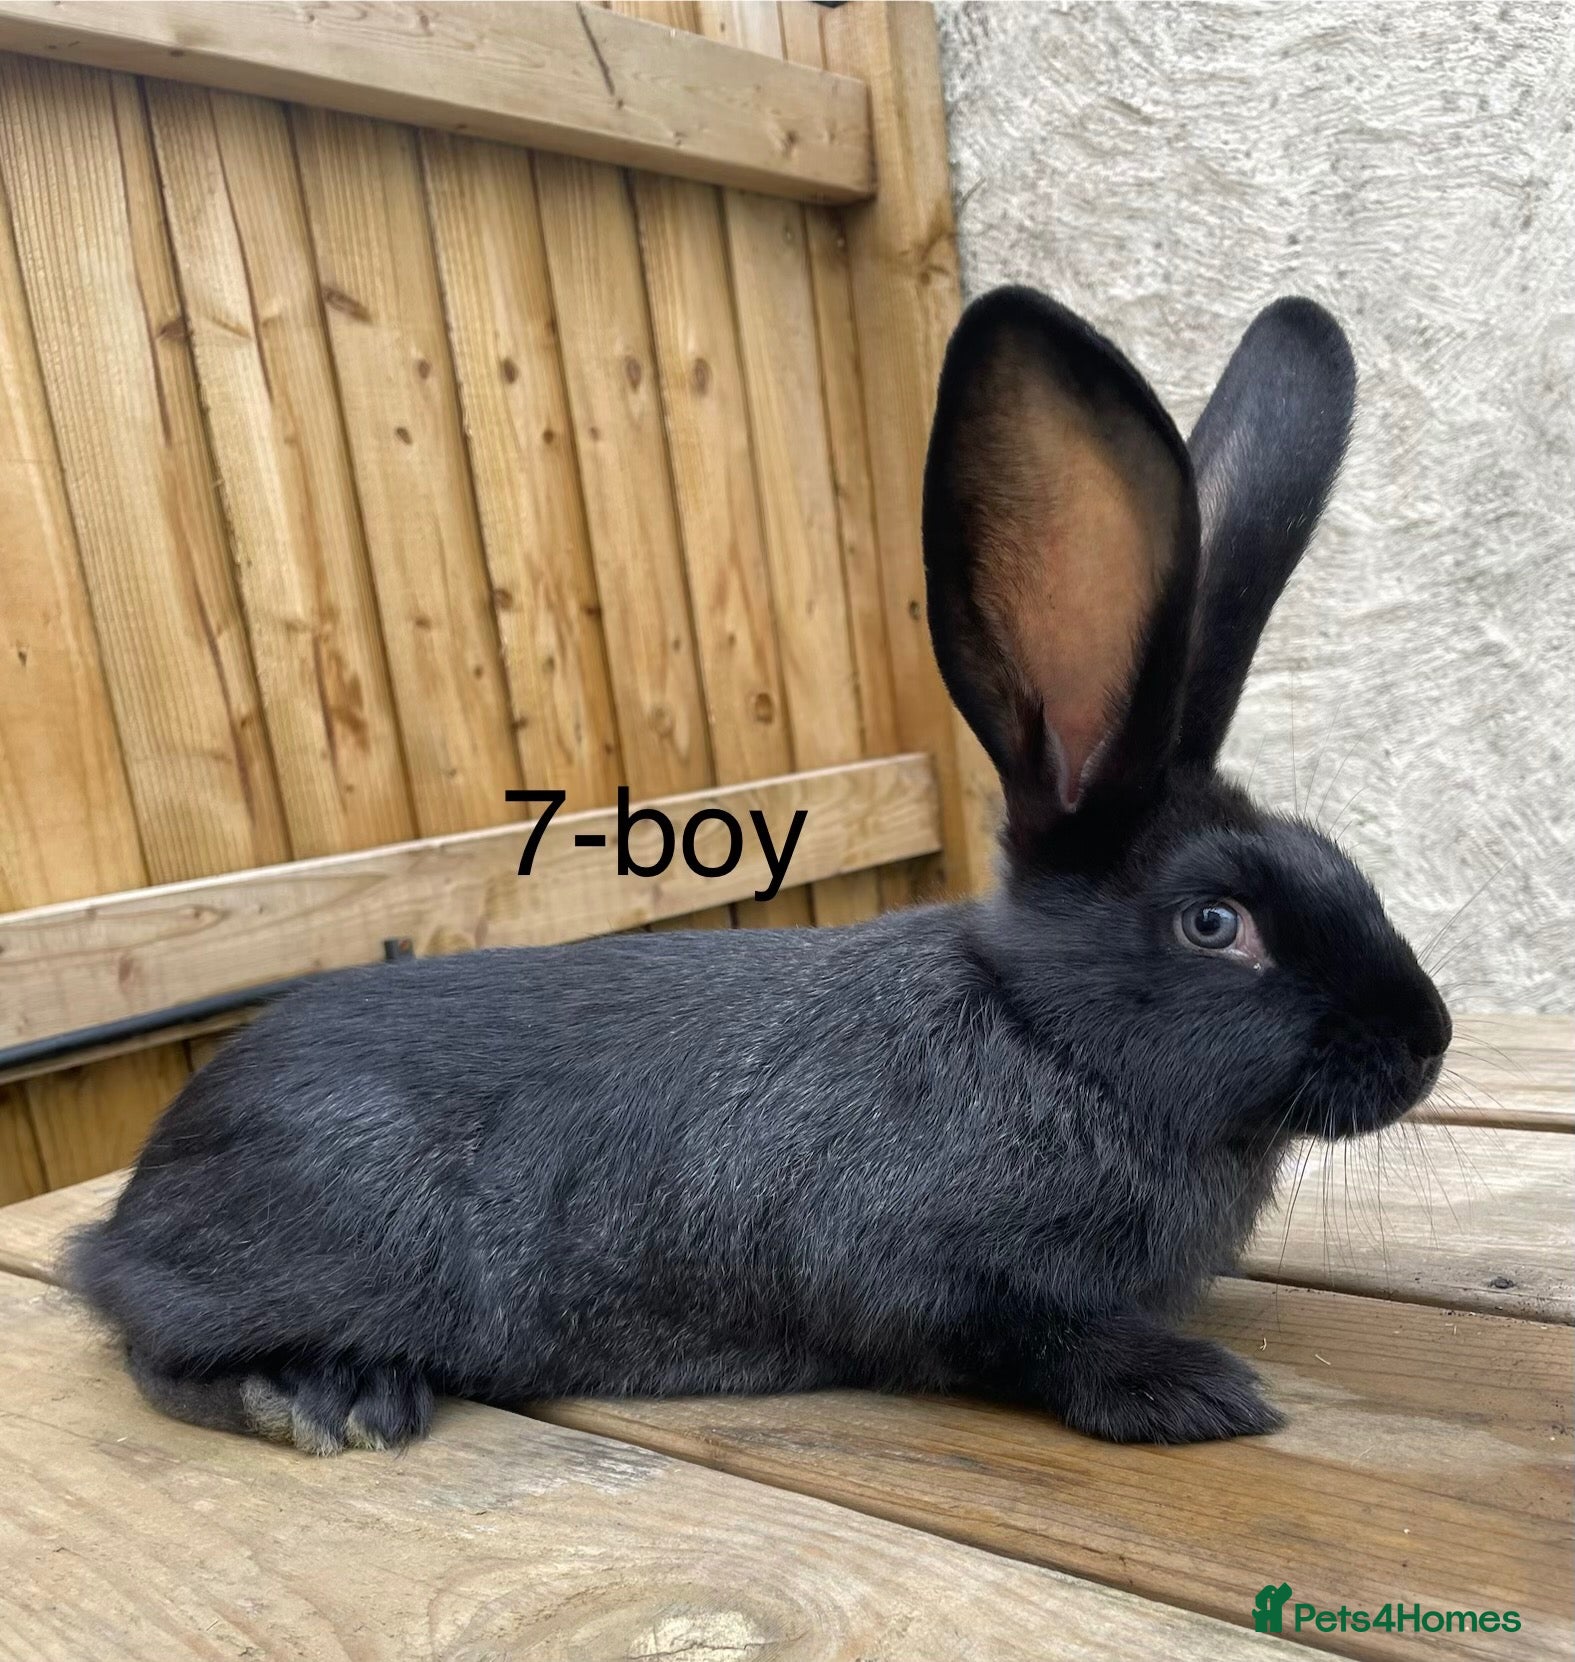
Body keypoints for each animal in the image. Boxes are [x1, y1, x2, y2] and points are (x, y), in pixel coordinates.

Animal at [68, 286, 1451, 1453]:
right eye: (1216, 923)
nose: (1426, 1042)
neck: (1048, 1040)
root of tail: (128, 1211)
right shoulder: (928, 1275)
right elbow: (1029, 1341)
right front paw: (1192, 1392)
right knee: (156, 1351)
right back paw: (330, 1396)